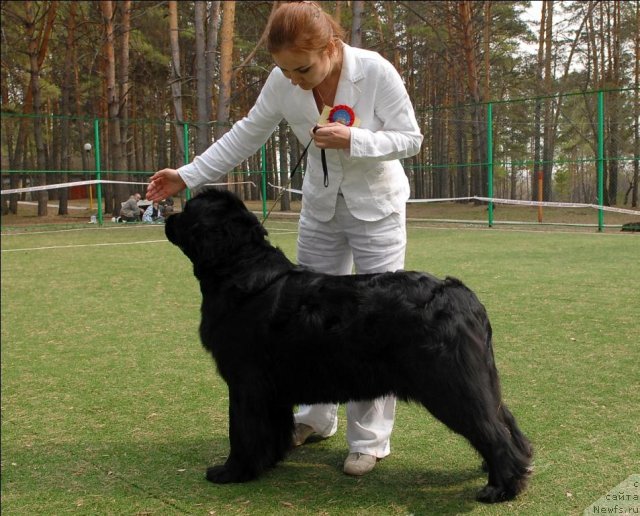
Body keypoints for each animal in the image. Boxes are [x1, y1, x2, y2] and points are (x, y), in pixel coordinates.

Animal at [164, 187, 528, 502]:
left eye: (188, 210)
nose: (167, 214)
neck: (239, 269)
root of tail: (463, 295)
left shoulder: (245, 383)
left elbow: (241, 430)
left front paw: (231, 472)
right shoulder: (271, 389)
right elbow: (271, 428)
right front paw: (270, 460)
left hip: (449, 384)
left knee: (492, 431)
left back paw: (500, 488)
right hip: (477, 379)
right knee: (504, 420)